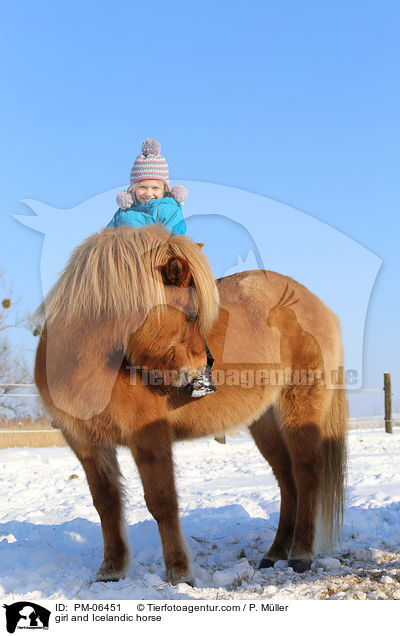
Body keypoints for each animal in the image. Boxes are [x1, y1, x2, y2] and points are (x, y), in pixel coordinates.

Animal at [34, 225, 346, 588]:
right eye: (192, 314)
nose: (203, 366)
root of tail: (317, 305)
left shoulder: (149, 437)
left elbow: (162, 501)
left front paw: (179, 573)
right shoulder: (86, 444)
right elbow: (106, 503)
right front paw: (111, 570)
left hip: (300, 410)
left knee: (307, 472)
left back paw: (301, 555)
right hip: (265, 421)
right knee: (287, 479)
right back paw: (275, 553)